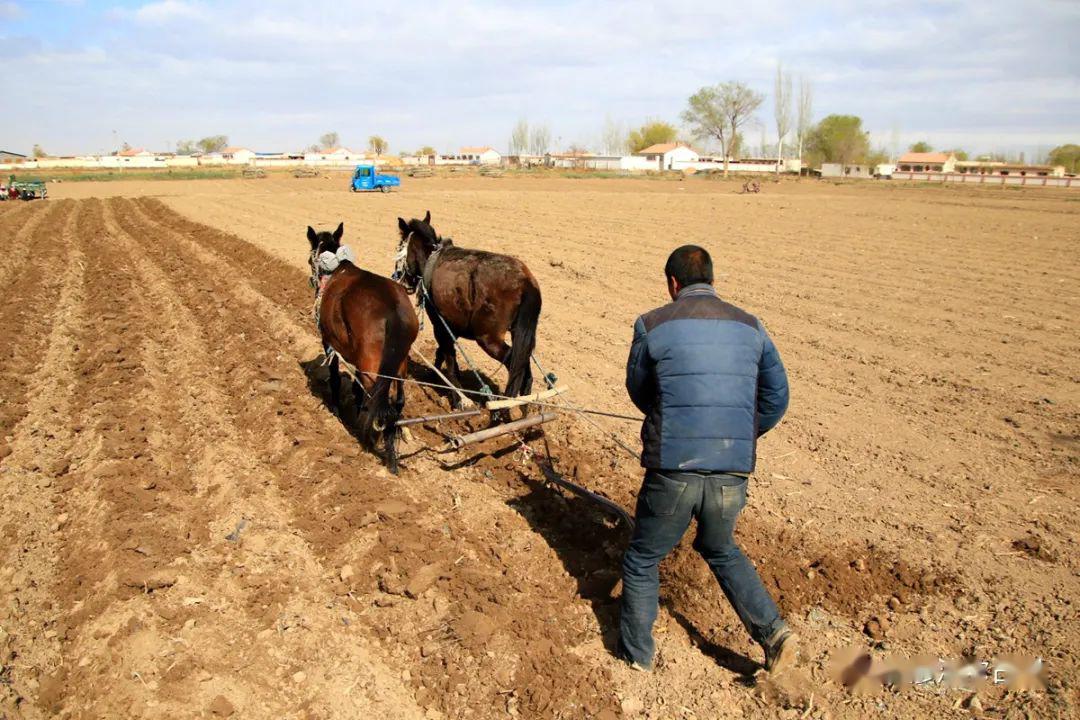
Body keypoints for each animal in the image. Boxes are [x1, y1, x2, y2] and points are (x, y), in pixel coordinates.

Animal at [311, 223, 419, 472]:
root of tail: (393, 309)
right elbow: (357, 386)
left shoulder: (329, 343)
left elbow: (335, 378)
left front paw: (337, 410)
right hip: (400, 364)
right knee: (397, 402)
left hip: (372, 363)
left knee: (378, 399)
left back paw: (375, 445)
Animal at [393, 211, 540, 408]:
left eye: (399, 247)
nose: (400, 280)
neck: (431, 259)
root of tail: (526, 282)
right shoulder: (450, 326)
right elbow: (443, 353)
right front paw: (434, 376)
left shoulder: (440, 325)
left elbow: (449, 358)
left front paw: (457, 397)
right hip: (519, 333)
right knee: (524, 365)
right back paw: (525, 406)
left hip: (488, 339)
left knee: (515, 365)